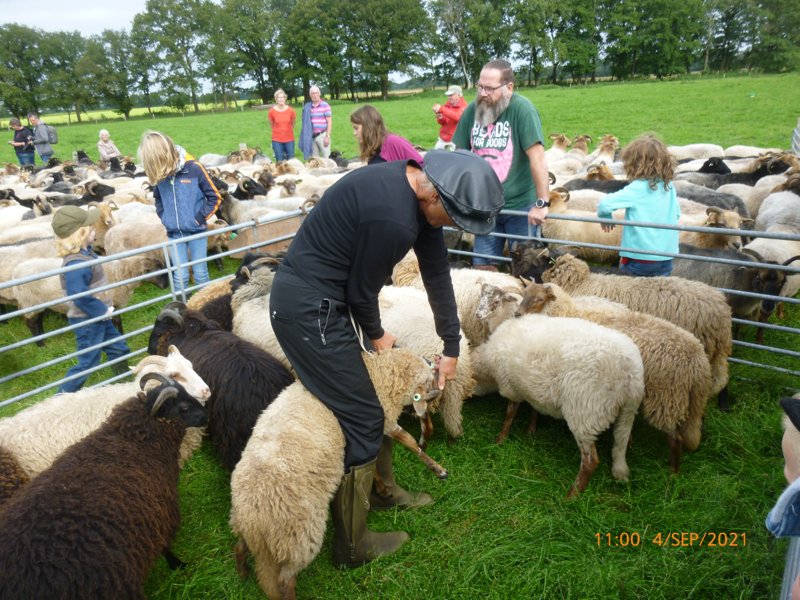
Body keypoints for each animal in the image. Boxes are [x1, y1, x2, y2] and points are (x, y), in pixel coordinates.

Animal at [0, 376, 205, 600]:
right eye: (183, 407)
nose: (206, 415)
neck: (133, 440)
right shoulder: (162, 509)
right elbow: (165, 544)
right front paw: (177, 564)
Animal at [230, 346, 444, 600]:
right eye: (427, 374)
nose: (435, 360)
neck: (379, 373)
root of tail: (254, 519)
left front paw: (382, 488)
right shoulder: (383, 421)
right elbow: (410, 441)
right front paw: (437, 468)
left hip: (247, 529)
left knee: (239, 547)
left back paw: (242, 572)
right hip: (299, 538)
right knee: (285, 580)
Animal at [468, 310, 644, 496]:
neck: (488, 364)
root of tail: (630, 373)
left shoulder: (511, 387)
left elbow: (509, 415)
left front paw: (500, 439)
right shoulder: (533, 389)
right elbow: (534, 409)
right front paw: (531, 430)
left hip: (585, 413)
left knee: (590, 462)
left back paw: (572, 495)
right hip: (627, 411)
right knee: (622, 440)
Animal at [512, 282, 712, 468]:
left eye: (539, 299)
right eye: (524, 293)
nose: (517, 314)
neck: (568, 311)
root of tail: (699, 363)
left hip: (666, 397)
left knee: (675, 438)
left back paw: (672, 472)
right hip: (684, 400)